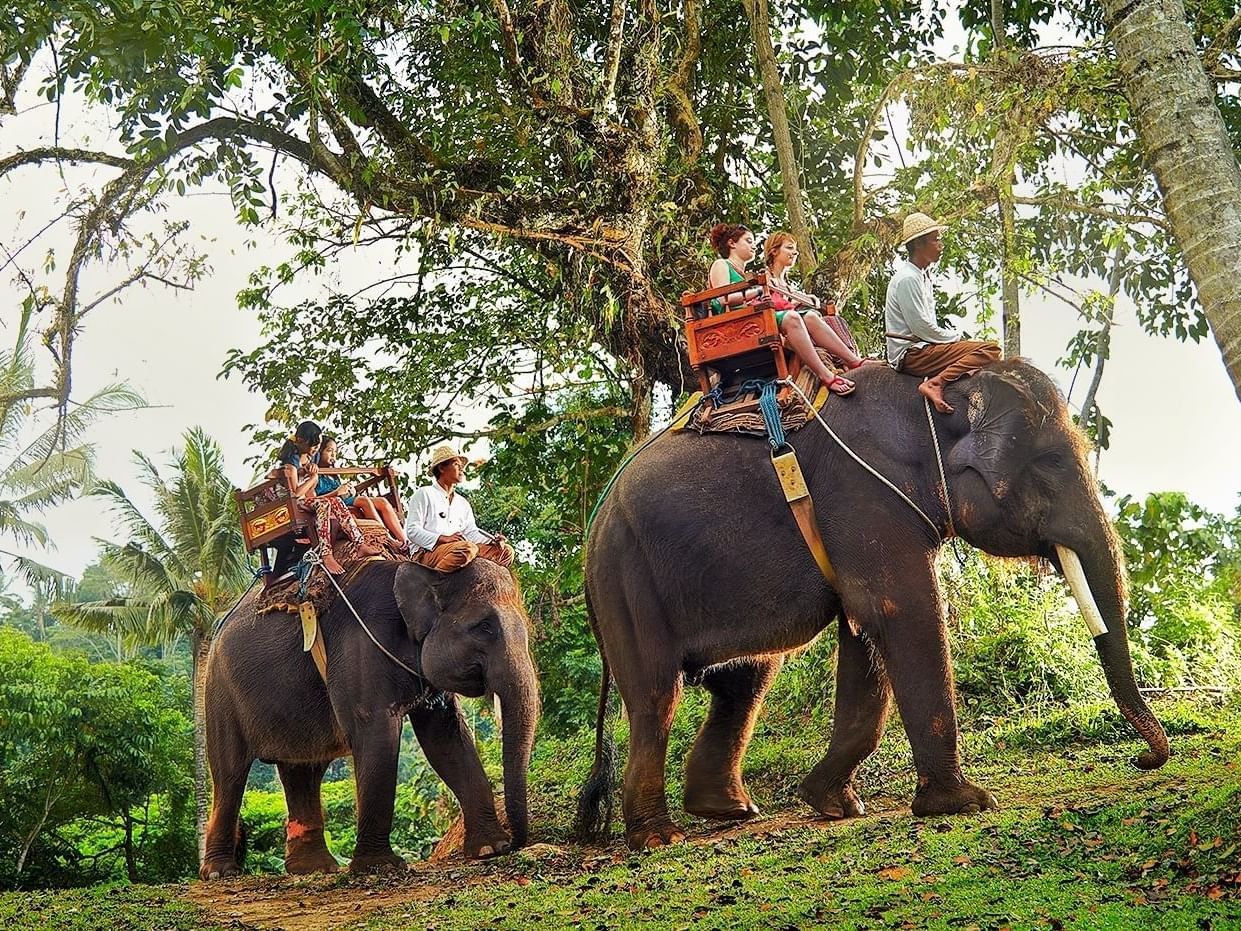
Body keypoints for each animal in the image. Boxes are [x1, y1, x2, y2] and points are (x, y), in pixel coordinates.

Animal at [198, 561, 538, 883]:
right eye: (484, 627)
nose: (517, 843)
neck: (419, 569)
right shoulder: (360, 651)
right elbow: (378, 735)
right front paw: (380, 866)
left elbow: (446, 739)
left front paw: (490, 849)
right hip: (218, 694)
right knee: (230, 774)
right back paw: (220, 872)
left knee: (303, 771)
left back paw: (314, 869)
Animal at [575, 359, 1166, 854]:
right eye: (1049, 462)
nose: (1143, 758)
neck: (932, 399)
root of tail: (592, 532)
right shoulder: (863, 495)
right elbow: (902, 610)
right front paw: (966, 804)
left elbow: (864, 634)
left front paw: (833, 804)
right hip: (626, 579)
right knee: (656, 695)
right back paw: (659, 837)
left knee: (746, 680)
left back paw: (730, 811)